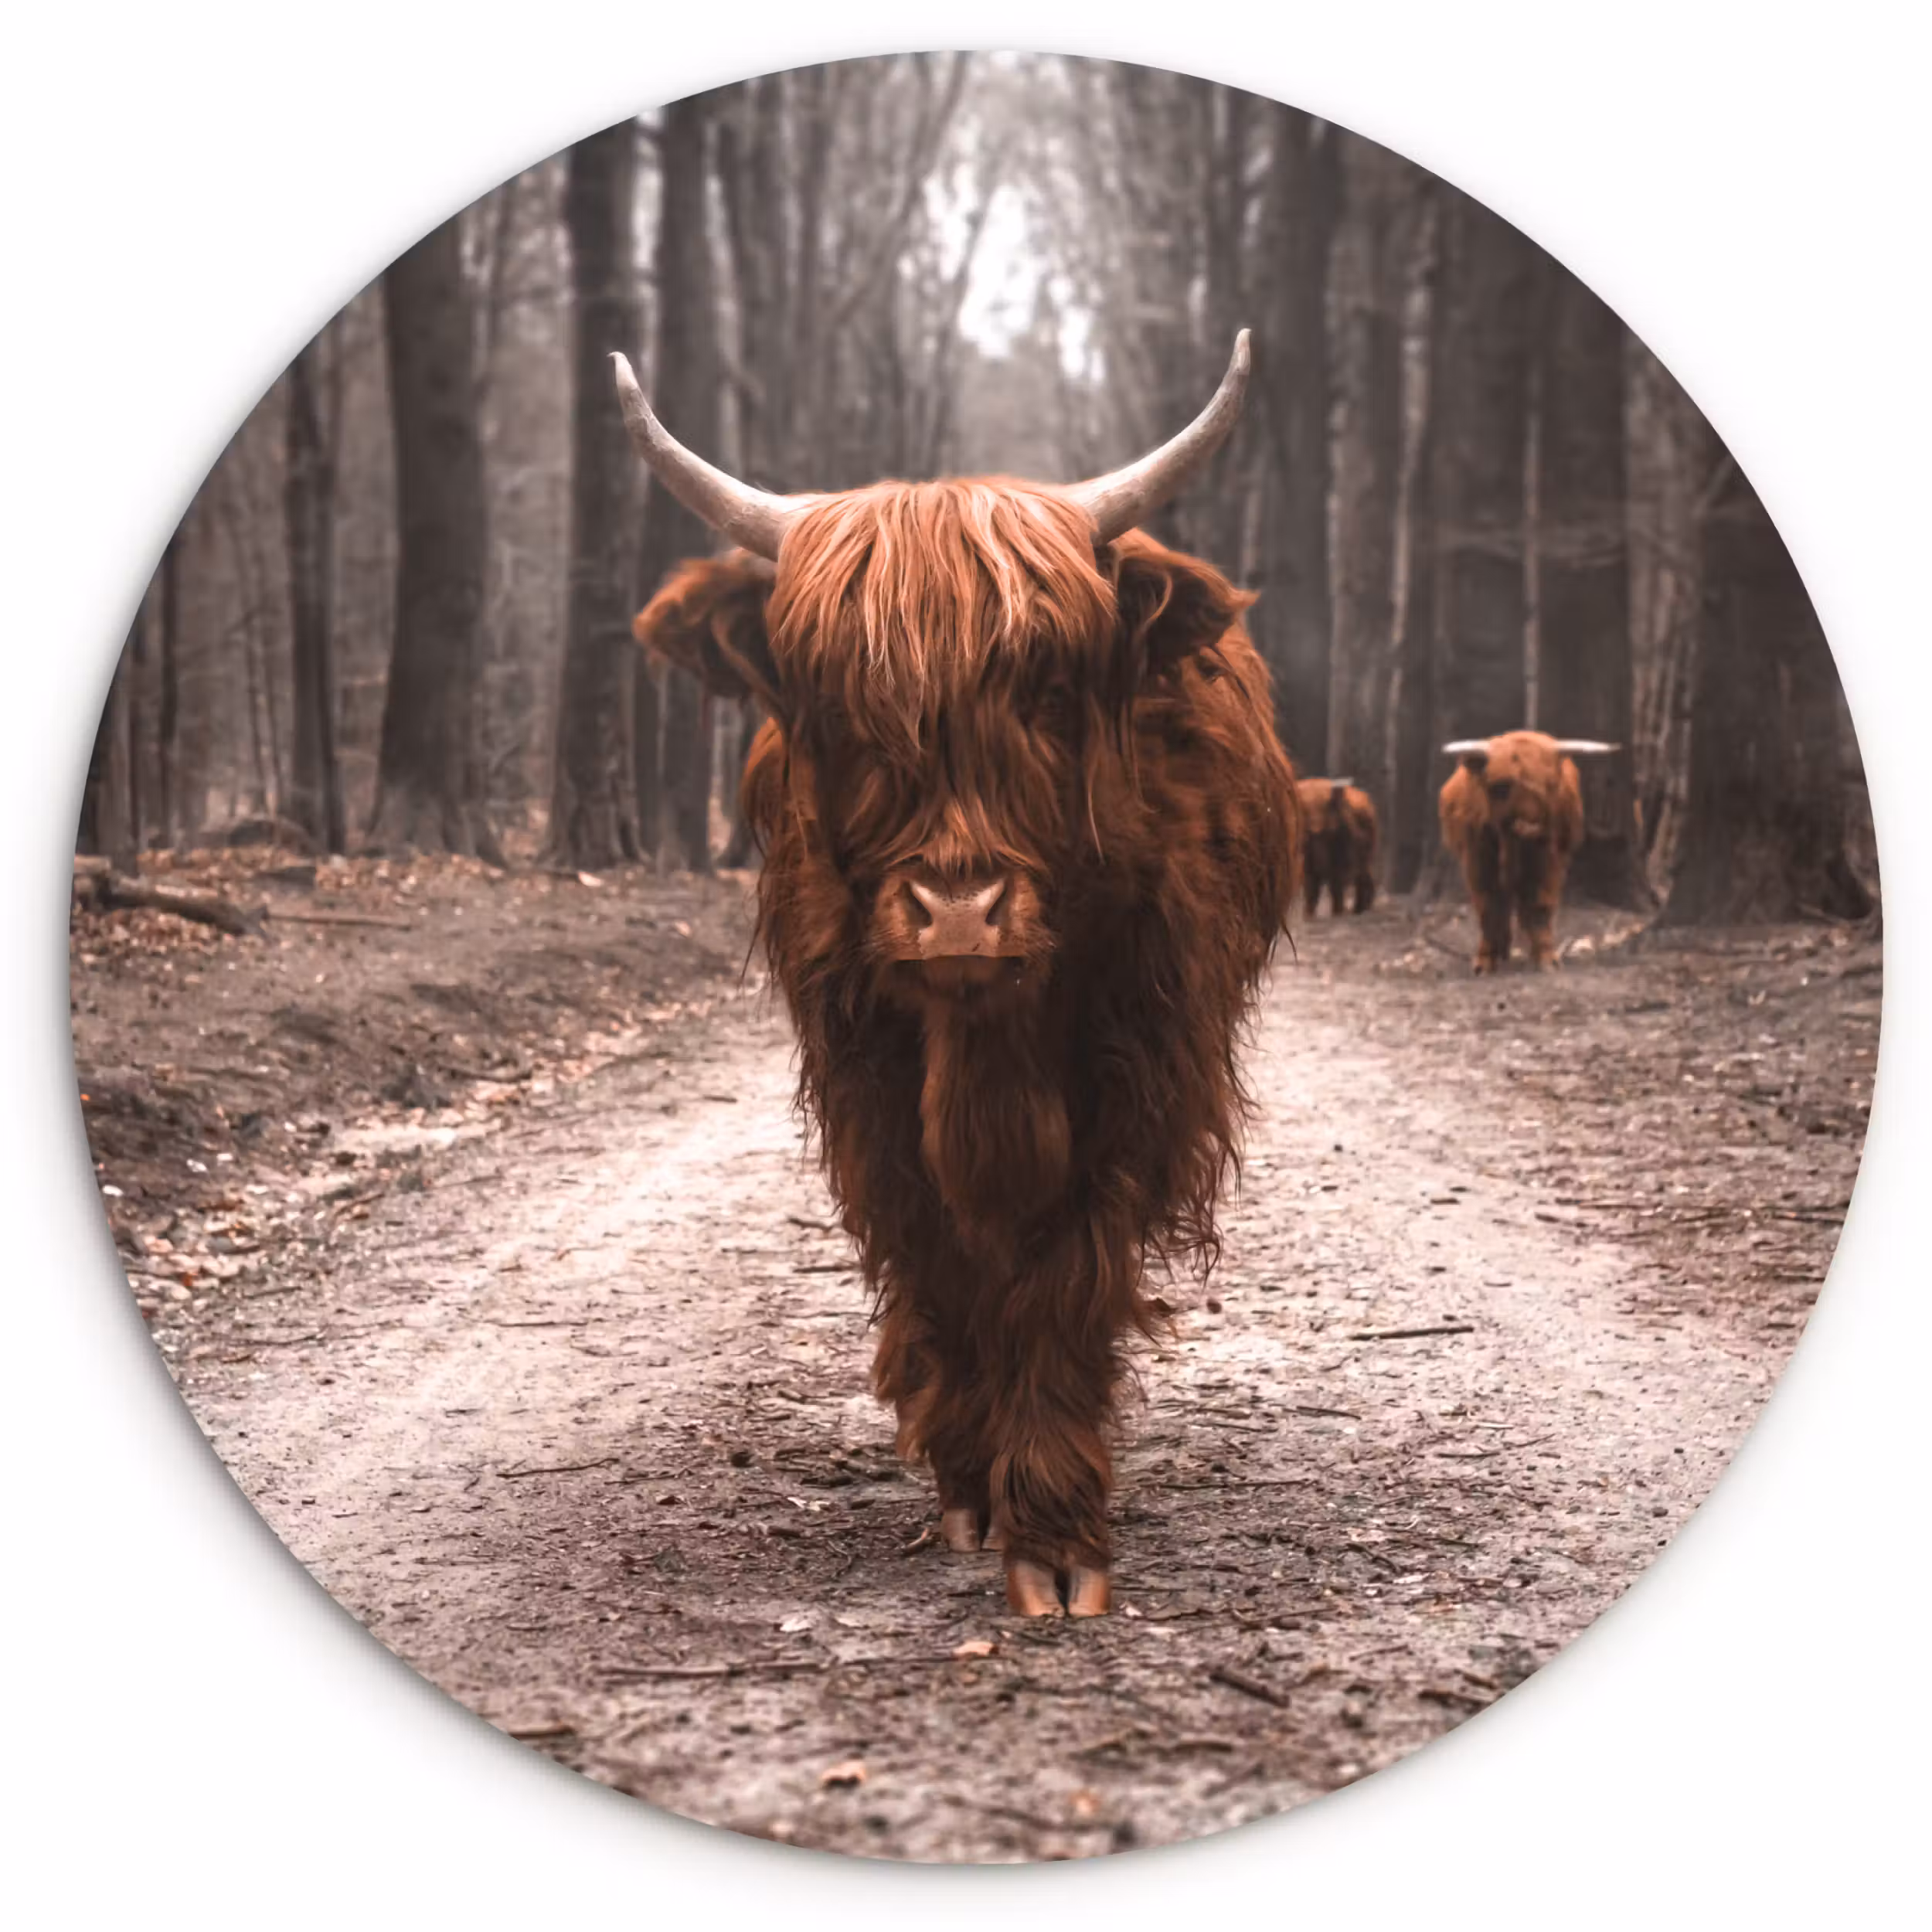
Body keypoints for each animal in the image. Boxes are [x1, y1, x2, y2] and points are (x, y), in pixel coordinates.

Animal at [619, 334, 1302, 1617]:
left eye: (1047, 691)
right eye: (840, 709)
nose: (958, 913)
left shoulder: (1136, 1072)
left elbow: (1065, 1270)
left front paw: (1056, 1532)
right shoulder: (867, 1081)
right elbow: (938, 1256)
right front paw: (973, 1485)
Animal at [1296, 777, 1378, 917]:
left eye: (1326, 806)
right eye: (1304, 809)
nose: (1315, 829)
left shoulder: (1343, 857)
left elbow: (1336, 885)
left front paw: (1337, 913)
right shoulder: (1306, 861)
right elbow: (1311, 887)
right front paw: (1308, 915)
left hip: (1368, 852)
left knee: (1362, 876)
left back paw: (1359, 910)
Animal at [1437, 730, 1618, 972]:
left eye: (1551, 785)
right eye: (1500, 787)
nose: (1530, 826)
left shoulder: (1548, 859)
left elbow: (1540, 905)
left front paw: (1546, 959)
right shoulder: (1478, 859)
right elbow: (1488, 906)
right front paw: (1485, 962)